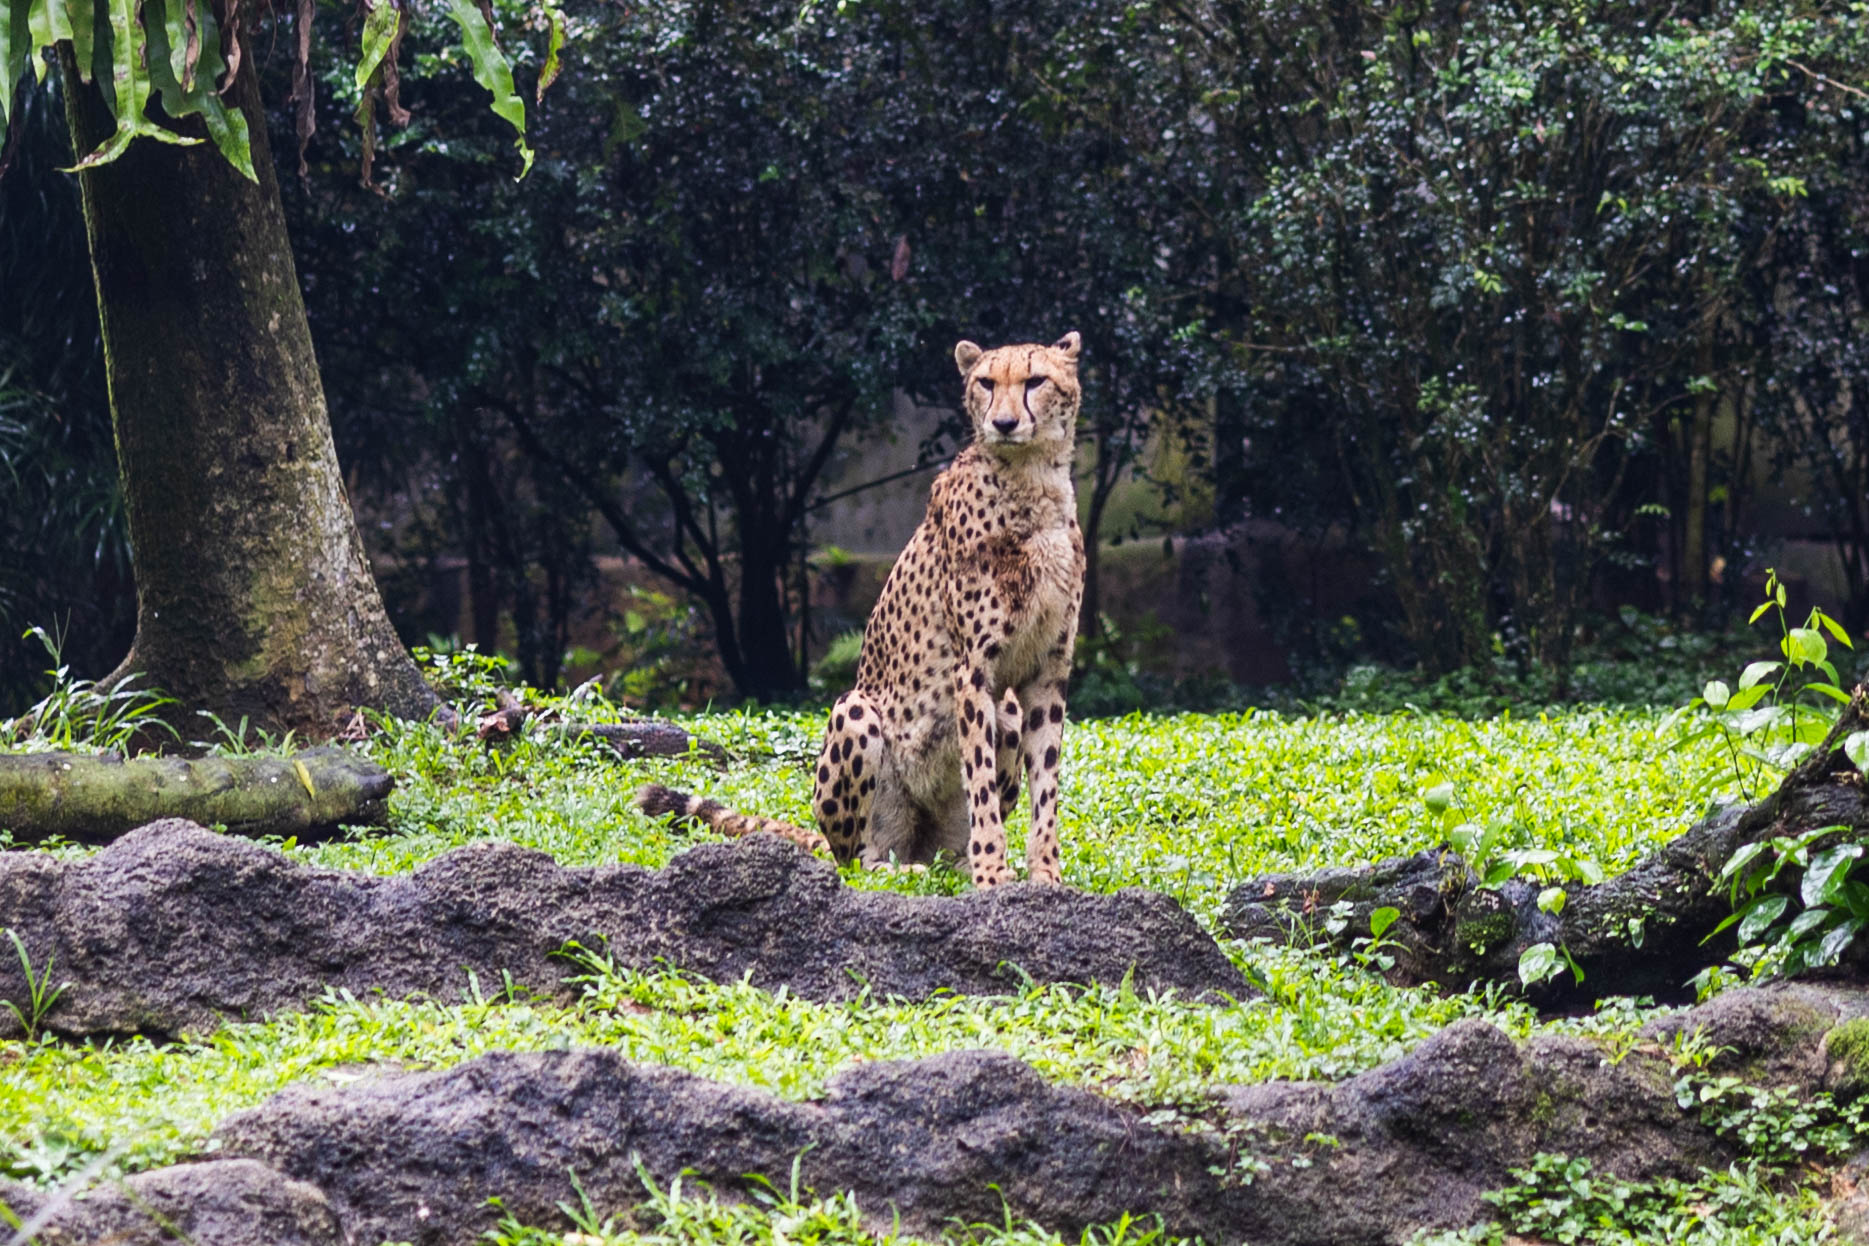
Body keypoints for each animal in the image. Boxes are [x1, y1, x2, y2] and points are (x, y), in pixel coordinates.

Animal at [639, 330, 1091, 885]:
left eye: (1035, 380)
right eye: (986, 383)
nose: (1003, 423)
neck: (1032, 480)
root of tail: (920, 848)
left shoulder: (1048, 670)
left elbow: (1045, 787)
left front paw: (1044, 876)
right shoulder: (973, 670)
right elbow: (981, 785)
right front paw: (991, 876)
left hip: (1001, 715)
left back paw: (959, 865)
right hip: (856, 715)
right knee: (857, 860)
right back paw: (910, 870)